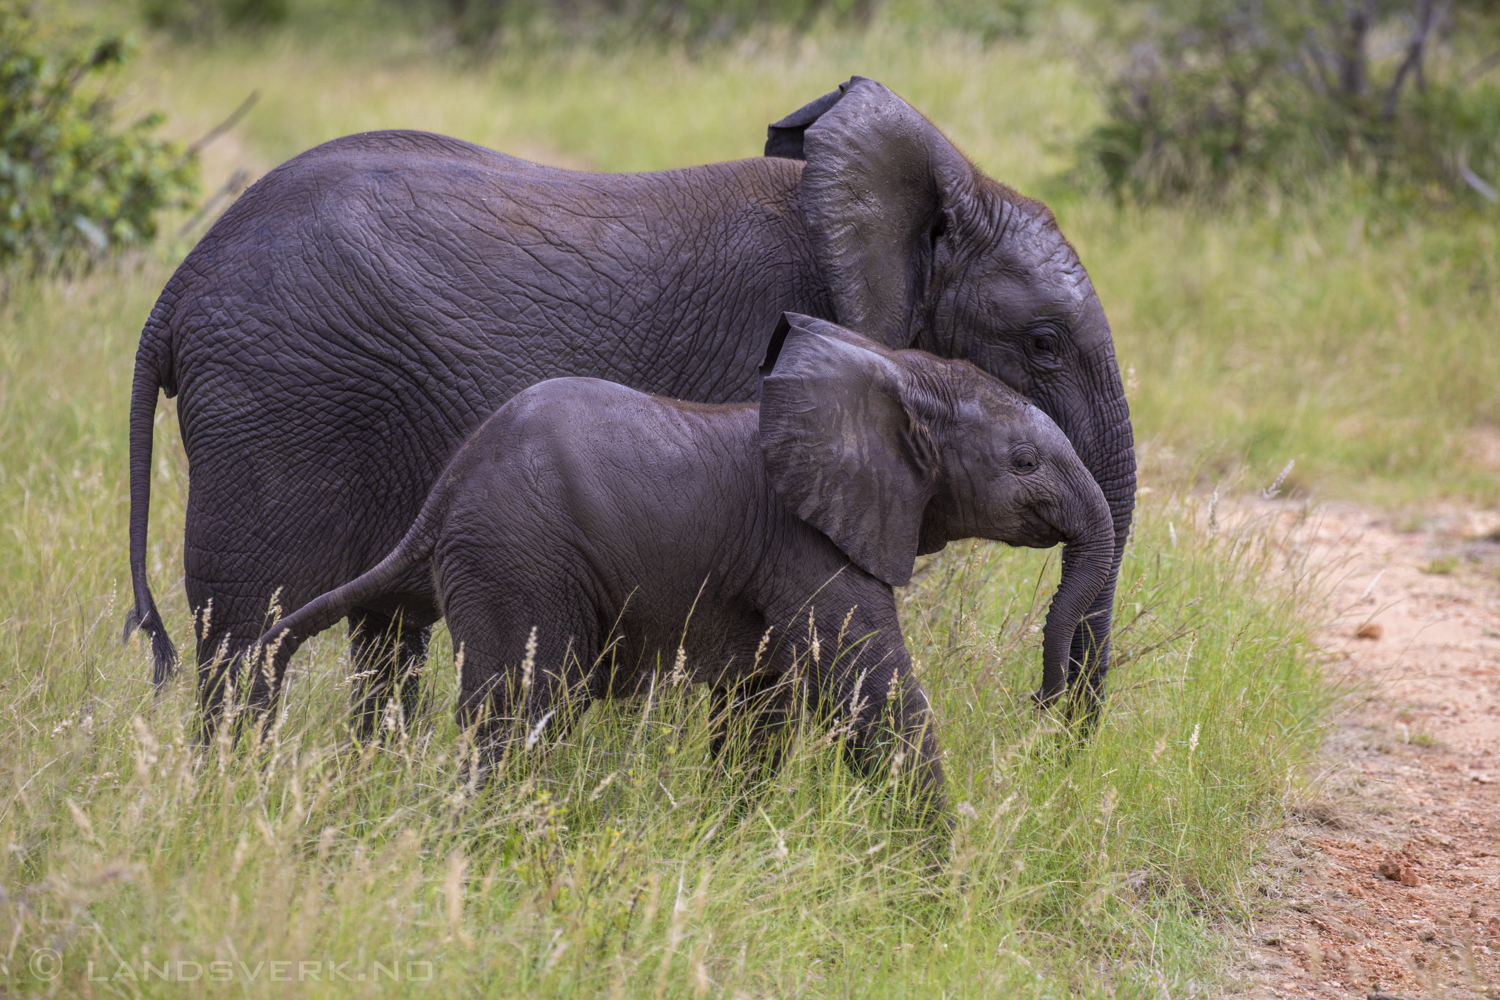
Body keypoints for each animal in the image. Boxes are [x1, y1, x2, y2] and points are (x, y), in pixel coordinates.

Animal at [126, 76, 1134, 734]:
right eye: (1042, 344)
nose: (1047, 715)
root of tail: (175, 291)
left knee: (382, 632)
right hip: (272, 404)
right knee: (245, 626)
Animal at [252, 316, 1110, 809]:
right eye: (1024, 462)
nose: (1045, 703)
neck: (896, 372)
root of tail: (444, 492)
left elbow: (763, 709)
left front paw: (730, 834)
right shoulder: (804, 542)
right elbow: (873, 690)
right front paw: (934, 891)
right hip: (516, 561)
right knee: (521, 714)